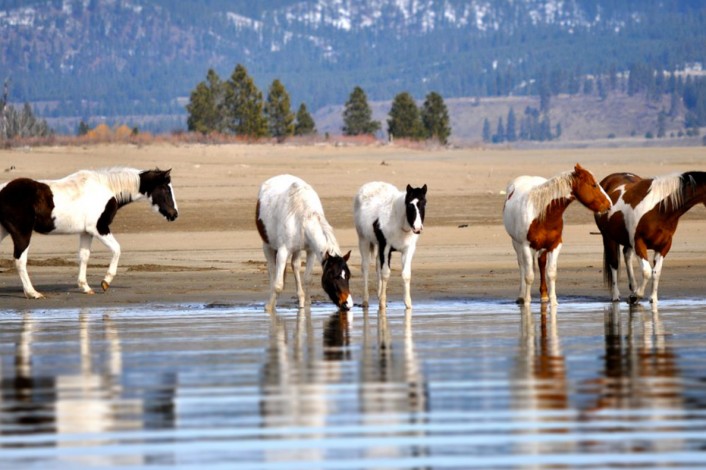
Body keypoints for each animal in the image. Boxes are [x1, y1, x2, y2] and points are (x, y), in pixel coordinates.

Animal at [0, 167, 178, 298]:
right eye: (165, 189)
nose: (174, 214)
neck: (105, 188)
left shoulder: (87, 232)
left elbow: (84, 257)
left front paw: (85, 287)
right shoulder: (99, 228)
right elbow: (117, 249)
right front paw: (106, 281)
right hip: (22, 233)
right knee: (20, 260)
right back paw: (33, 293)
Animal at [256, 174, 353, 313]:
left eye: (348, 275)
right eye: (334, 276)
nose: (348, 304)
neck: (303, 217)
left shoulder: (311, 251)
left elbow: (307, 278)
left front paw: (306, 304)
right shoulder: (283, 252)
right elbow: (278, 284)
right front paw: (270, 307)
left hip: (296, 250)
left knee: (295, 266)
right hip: (267, 246)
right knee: (272, 271)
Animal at [503, 163, 611, 305]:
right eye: (593, 185)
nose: (609, 205)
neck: (543, 216)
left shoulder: (555, 245)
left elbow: (551, 273)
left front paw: (553, 301)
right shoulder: (526, 246)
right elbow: (529, 276)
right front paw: (526, 301)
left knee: (541, 263)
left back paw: (544, 295)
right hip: (516, 243)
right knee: (521, 265)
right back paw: (521, 296)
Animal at [594, 171, 706, 304]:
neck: (659, 210)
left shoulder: (663, 246)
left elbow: (656, 272)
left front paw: (652, 298)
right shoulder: (639, 243)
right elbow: (647, 271)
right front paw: (635, 296)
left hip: (627, 240)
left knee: (627, 255)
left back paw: (633, 287)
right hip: (608, 237)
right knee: (614, 264)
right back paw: (616, 295)